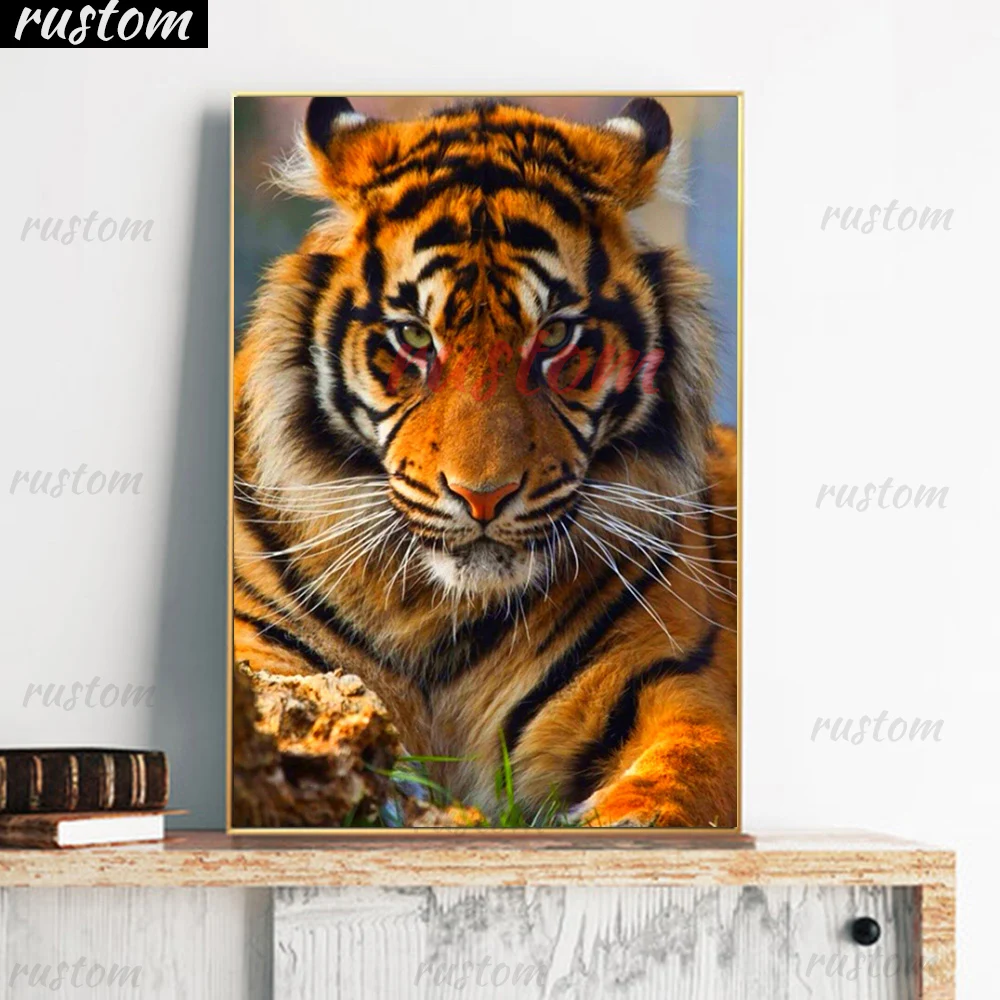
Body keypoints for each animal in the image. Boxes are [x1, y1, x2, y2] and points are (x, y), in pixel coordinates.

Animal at [233, 96, 738, 828]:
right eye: (415, 337)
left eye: (554, 336)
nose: (483, 497)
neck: (431, 613)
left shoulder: (672, 680)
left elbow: (684, 777)